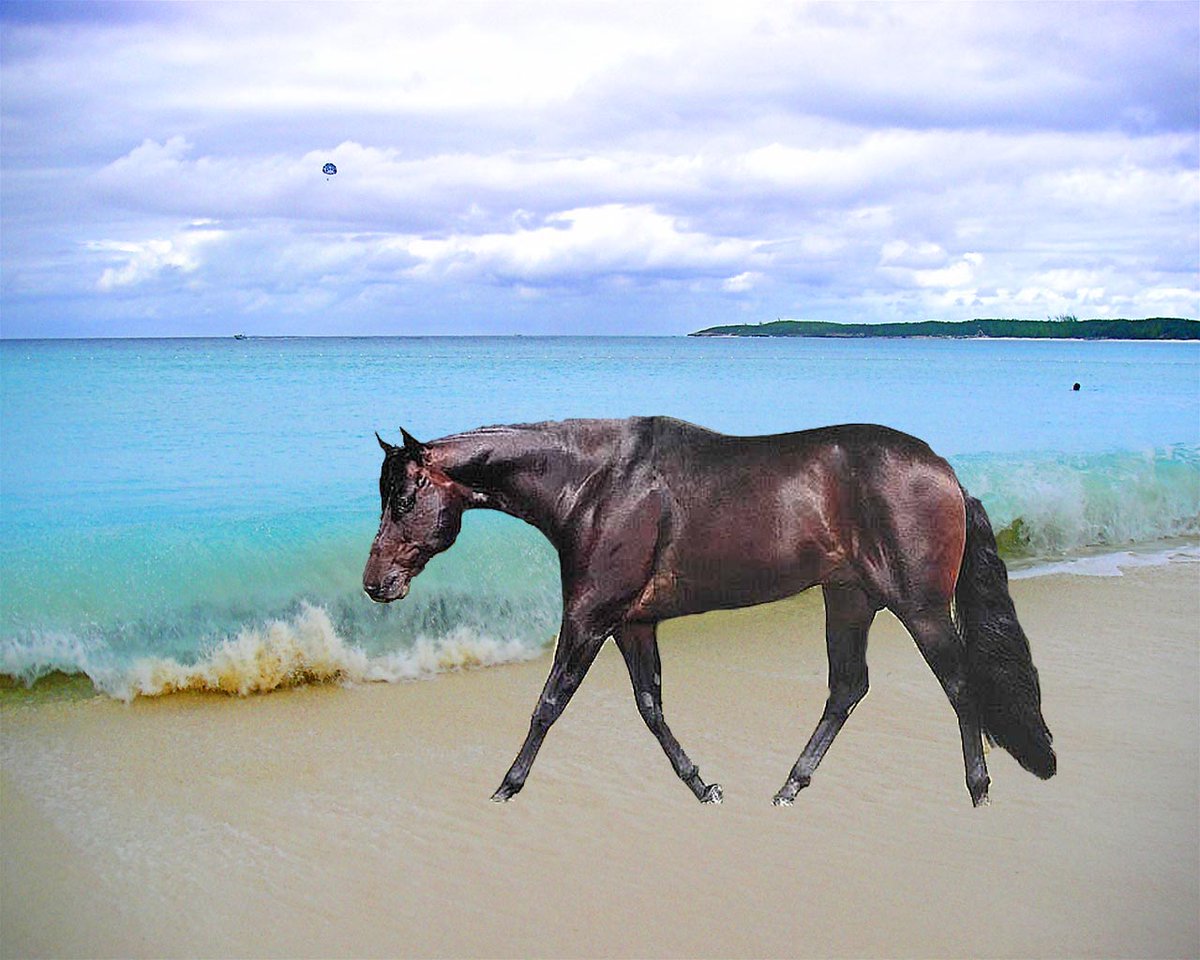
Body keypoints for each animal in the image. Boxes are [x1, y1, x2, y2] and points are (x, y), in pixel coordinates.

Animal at [363, 417, 1055, 806]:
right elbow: (650, 706)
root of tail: (946, 474)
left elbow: (549, 703)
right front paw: (702, 785)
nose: (375, 583)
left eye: (403, 498)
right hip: (849, 598)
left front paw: (506, 787)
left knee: (959, 685)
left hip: (920, 607)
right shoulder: (632, 623)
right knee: (847, 688)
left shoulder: (589, 617)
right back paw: (790, 787)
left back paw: (978, 790)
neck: (595, 485)